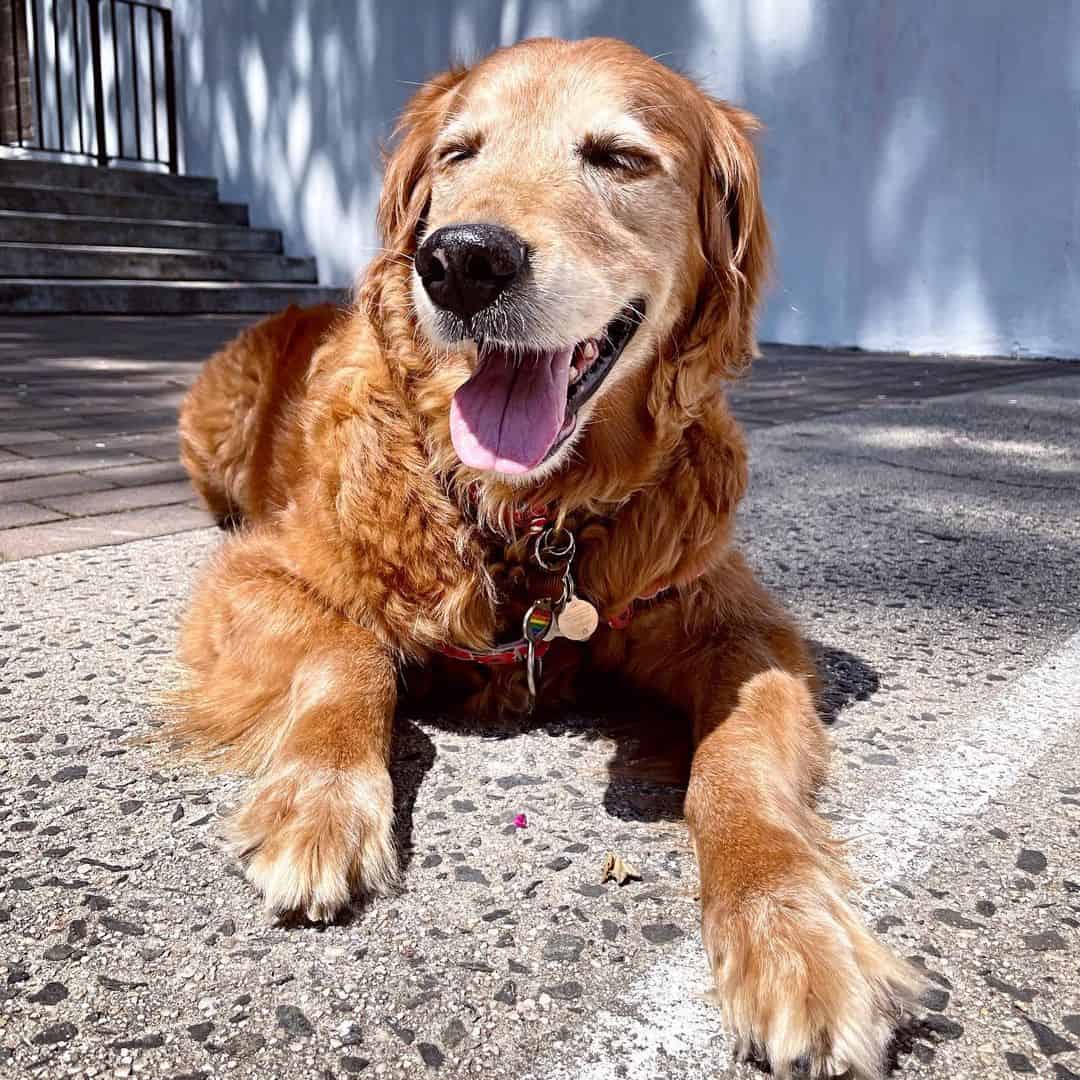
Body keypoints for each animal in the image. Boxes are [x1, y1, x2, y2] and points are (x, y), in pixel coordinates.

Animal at [172, 35, 915, 1080]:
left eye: (619, 158)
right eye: (458, 154)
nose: (460, 260)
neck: (533, 519)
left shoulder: (742, 630)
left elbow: (736, 765)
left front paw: (791, 929)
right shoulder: (256, 573)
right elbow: (349, 651)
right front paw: (319, 803)